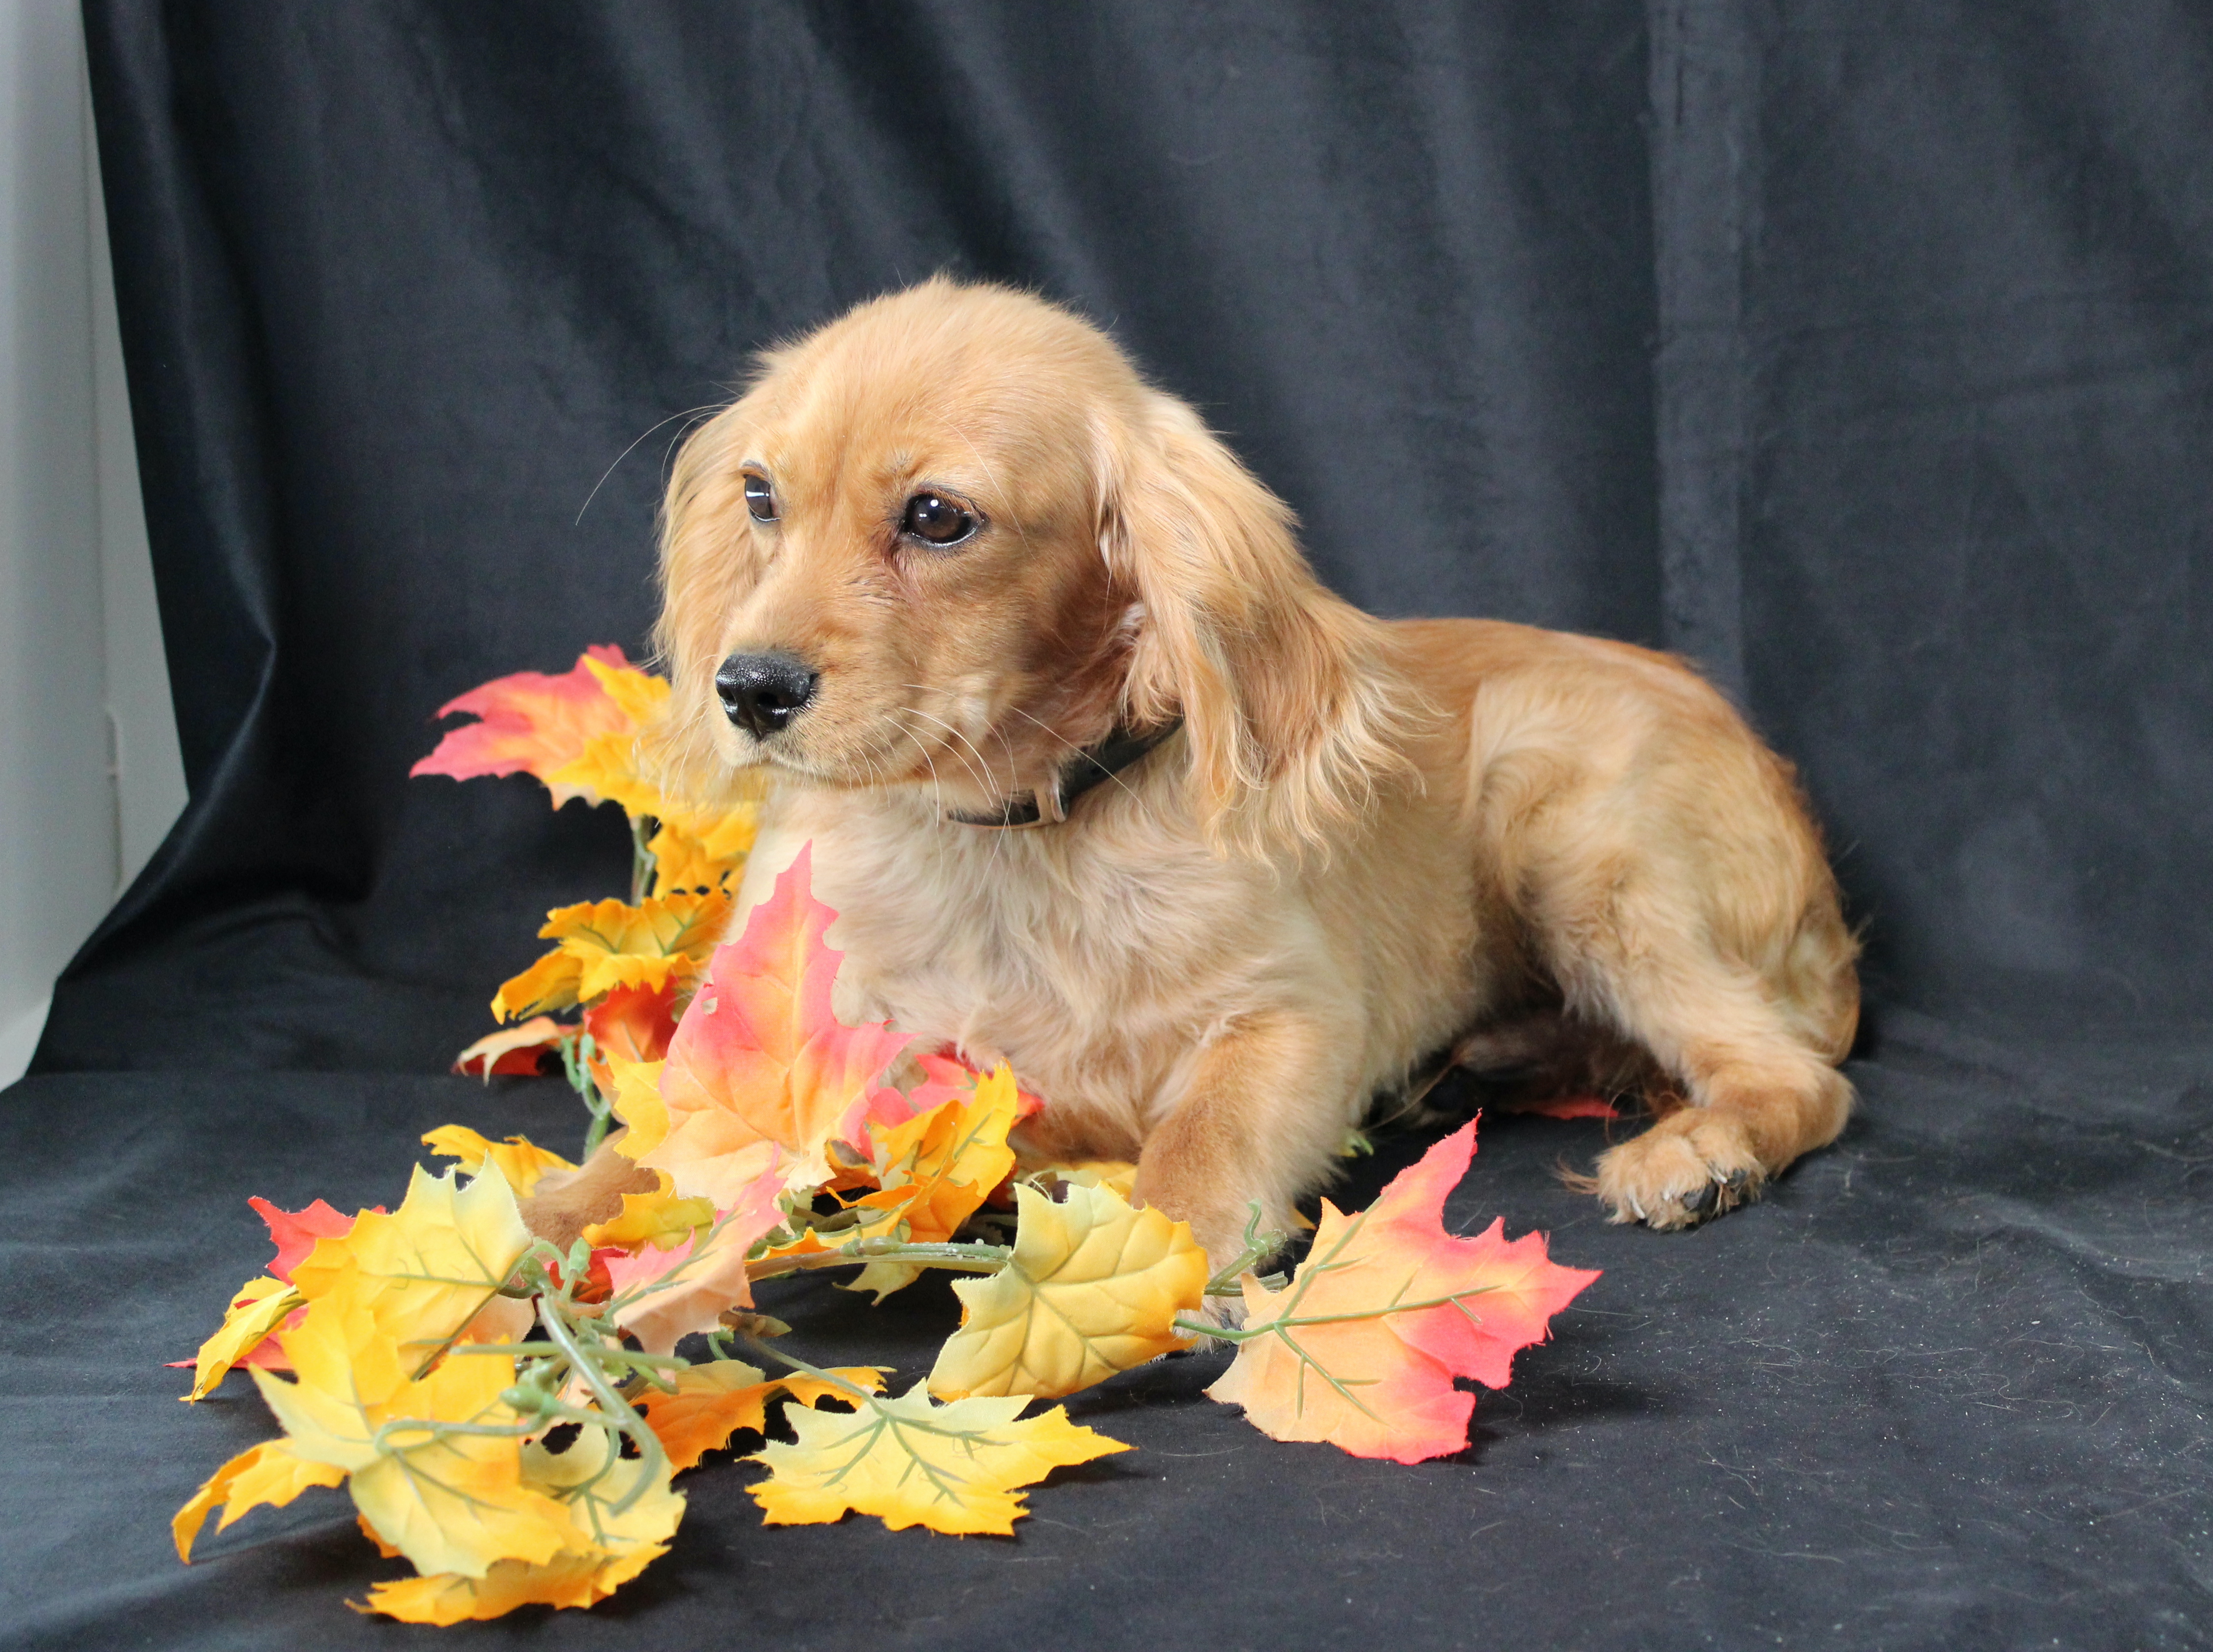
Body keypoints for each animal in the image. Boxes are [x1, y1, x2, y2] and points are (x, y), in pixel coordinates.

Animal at [579, 277, 1859, 1267]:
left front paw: (1159, 1257)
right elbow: (634, 1164)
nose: (748, 690)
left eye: (938, 516)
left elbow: (1198, 1145)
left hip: (1578, 842)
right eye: (760, 497)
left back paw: (1697, 1149)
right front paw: (535, 1260)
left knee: (1796, 1076)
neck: (1006, 837)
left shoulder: (1294, 1015)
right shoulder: (754, 1046)